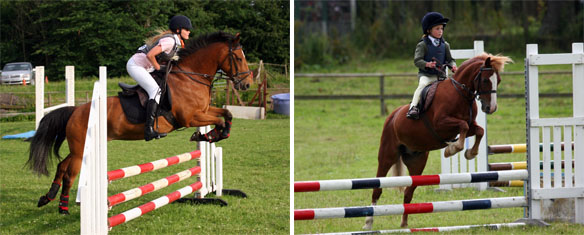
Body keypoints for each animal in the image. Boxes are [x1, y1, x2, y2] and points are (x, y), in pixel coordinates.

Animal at [27, 31, 252, 215]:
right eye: (239, 57)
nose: (247, 84)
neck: (190, 77)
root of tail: (76, 110)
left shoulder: (203, 111)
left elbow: (227, 114)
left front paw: (208, 135)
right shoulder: (190, 117)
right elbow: (219, 121)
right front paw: (207, 135)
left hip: (81, 148)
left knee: (62, 166)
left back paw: (47, 198)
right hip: (81, 149)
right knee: (69, 174)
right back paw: (63, 208)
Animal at [362, 53, 512, 229]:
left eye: (499, 80)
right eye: (486, 80)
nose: (491, 108)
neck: (461, 94)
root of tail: (392, 116)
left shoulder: (470, 126)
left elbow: (479, 130)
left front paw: (469, 153)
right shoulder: (441, 125)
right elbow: (462, 126)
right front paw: (452, 149)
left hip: (417, 162)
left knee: (408, 192)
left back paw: (404, 224)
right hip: (387, 156)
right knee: (377, 188)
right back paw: (368, 223)